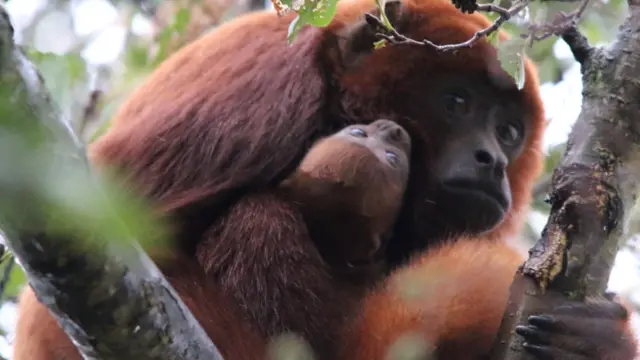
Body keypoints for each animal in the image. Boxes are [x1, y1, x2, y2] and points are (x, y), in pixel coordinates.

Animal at [12, 0, 636, 358]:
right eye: (456, 101)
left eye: (508, 131)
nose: (492, 160)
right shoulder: (257, 93)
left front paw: (592, 341)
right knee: (258, 216)